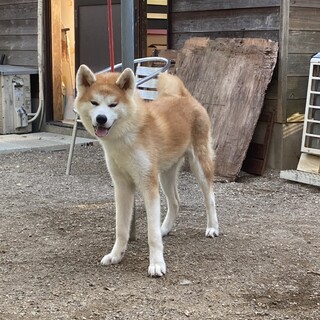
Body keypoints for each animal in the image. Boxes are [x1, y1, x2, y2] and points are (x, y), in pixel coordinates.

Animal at [74, 65, 219, 278]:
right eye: (94, 102)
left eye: (113, 104)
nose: (101, 118)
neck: (125, 139)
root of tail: (184, 97)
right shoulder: (122, 186)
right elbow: (121, 229)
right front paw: (116, 255)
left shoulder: (148, 185)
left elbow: (152, 236)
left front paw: (157, 264)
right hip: (165, 175)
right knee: (175, 202)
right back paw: (165, 228)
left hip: (199, 166)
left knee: (210, 199)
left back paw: (212, 227)